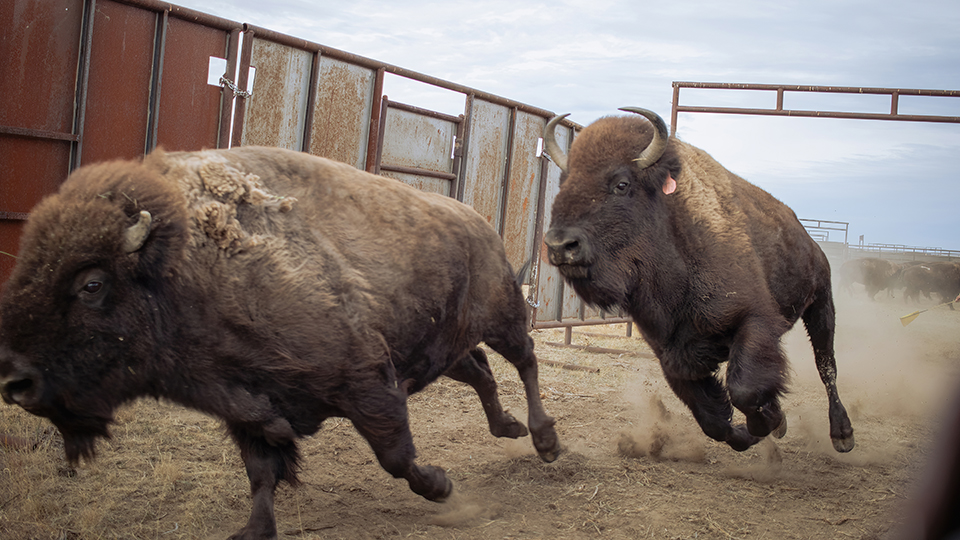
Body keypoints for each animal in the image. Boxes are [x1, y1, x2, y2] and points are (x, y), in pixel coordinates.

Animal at [0, 147, 560, 539]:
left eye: (92, 284)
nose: (14, 380)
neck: (187, 268)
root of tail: (480, 223)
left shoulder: (368, 383)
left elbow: (396, 456)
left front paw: (443, 487)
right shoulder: (247, 410)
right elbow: (262, 475)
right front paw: (253, 531)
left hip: (503, 316)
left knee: (525, 361)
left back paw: (544, 440)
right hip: (445, 348)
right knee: (482, 371)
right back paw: (508, 427)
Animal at [542, 107, 854, 454]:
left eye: (622, 184)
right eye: (563, 181)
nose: (560, 245)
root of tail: (805, 234)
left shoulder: (754, 320)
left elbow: (744, 390)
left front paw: (773, 422)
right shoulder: (671, 354)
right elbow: (714, 421)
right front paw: (763, 428)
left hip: (821, 302)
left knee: (827, 365)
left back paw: (843, 435)